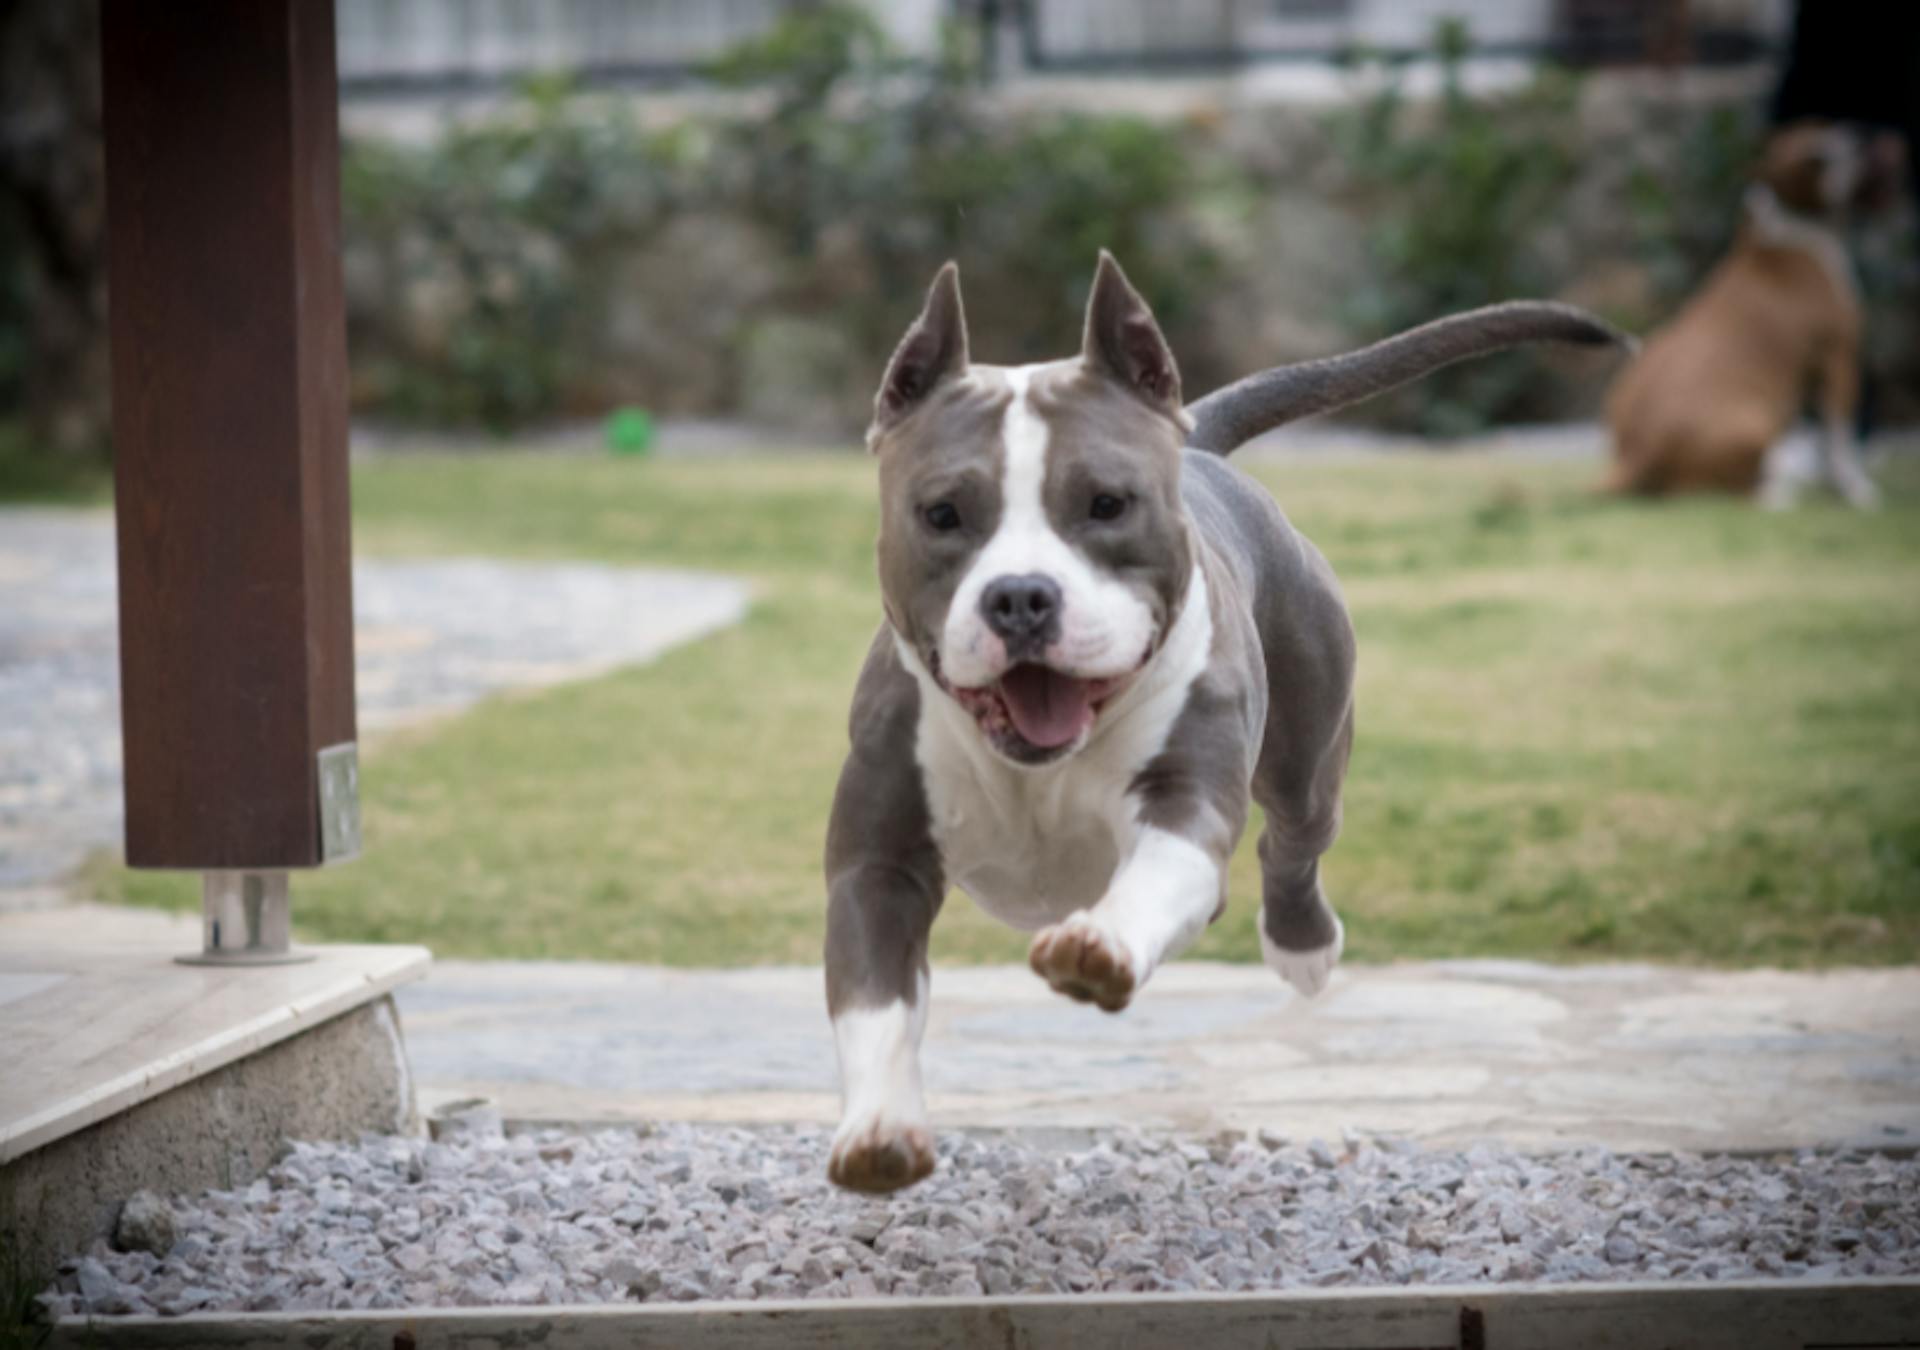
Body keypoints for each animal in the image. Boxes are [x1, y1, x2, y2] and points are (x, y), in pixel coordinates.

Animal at [821, 253, 1620, 1190]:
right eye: (942, 513)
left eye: (1107, 504)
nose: (1020, 597)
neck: (1037, 760)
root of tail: (1198, 443)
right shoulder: (878, 867)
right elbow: (873, 1001)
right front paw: (879, 1128)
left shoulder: (1184, 807)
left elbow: (1153, 878)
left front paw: (1098, 946)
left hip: (1309, 752)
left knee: (1292, 843)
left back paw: (1304, 946)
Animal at [1605, 122, 1904, 506]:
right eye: (1814, 160)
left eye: (1827, 125)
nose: (1861, 138)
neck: (1789, 229)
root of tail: (1636, 453)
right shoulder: (1839, 355)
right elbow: (1839, 439)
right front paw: (1855, 490)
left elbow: (1825, 442)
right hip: (1756, 423)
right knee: (1725, 492)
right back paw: (1783, 492)